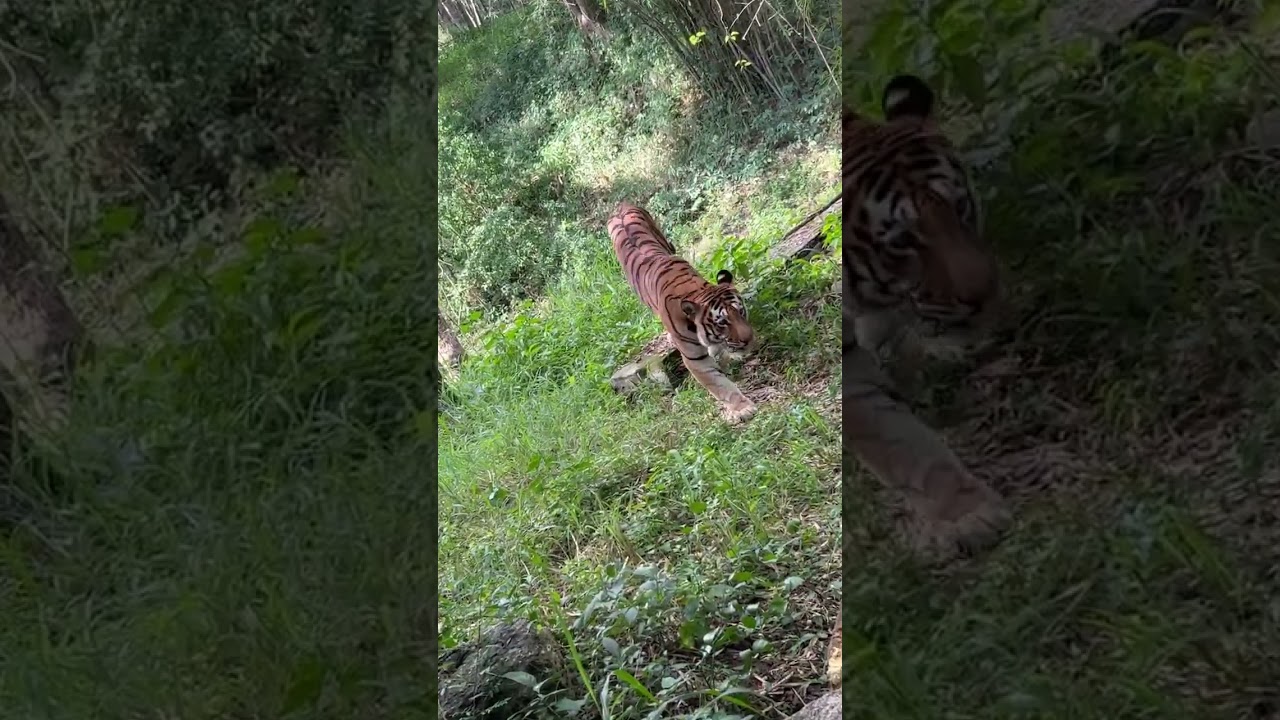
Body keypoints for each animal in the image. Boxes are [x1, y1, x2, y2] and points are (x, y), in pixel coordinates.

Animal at [607, 202, 758, 424]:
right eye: (722, 322)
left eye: (741, 312)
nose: (749, 340)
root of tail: (620, 206)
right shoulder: (694, 359)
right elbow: (719, 385)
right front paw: (742, 409)